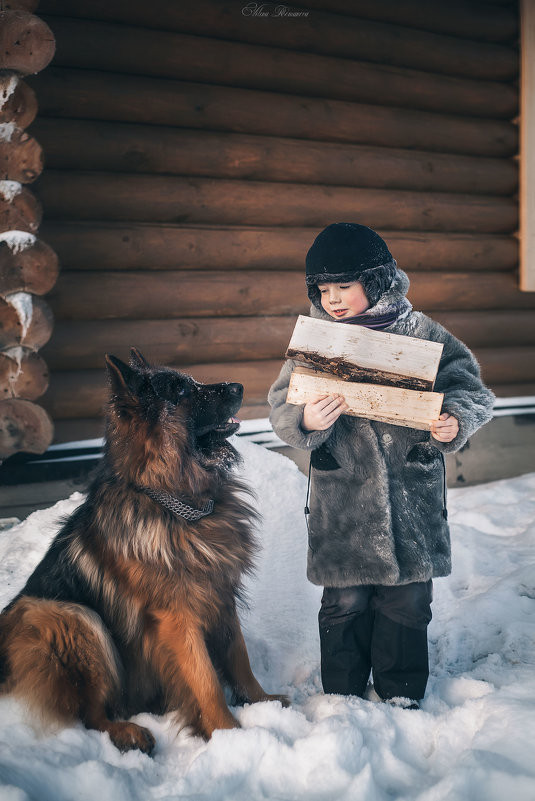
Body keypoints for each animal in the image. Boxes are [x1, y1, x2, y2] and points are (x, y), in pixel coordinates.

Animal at [0, 348, 288, 752]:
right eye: (180, 391)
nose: (240, 386)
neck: (179, 509)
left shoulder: (219, 593)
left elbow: (239, 656)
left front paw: (262, 703)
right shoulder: (176, 618)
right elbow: (205, 680)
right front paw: (230, 736)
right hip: (67, 616)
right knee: (91, 715)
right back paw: (128, 732)